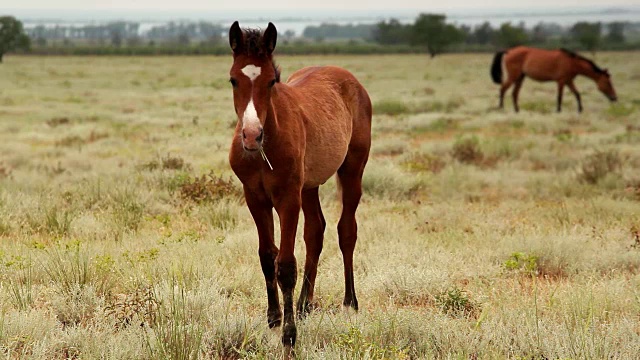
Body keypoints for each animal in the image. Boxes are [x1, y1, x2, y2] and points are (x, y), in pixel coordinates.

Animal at [228, 21, 372, 348]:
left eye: (271, 82)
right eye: (233, 80)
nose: (251, 136)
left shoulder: (287, 199)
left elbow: (285, 264)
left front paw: (289, 334)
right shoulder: (255, 198)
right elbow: (267, 256)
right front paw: (274, 319)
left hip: (352, 170)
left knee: (346, 230)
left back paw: (349, 303)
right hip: (309, 186)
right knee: (315, 231)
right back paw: (306, 304)